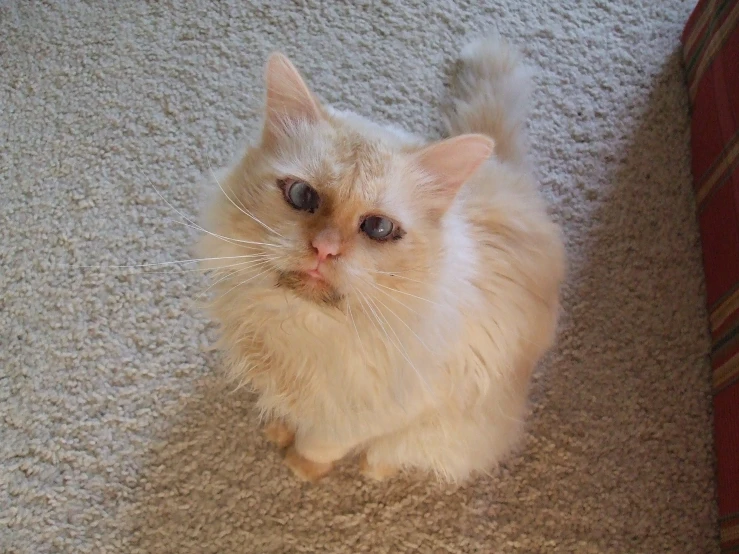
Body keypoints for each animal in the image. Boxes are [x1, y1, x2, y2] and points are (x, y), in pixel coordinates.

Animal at [197, 35, 568, 484]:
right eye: (301, 195)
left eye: (377, 227)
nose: (324, 248)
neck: (302, 328)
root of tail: (510, 177)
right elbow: (289, 411)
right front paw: (279, 428)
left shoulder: (368, 417)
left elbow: (321, 442)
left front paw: (302, 466)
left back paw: (376, 467)